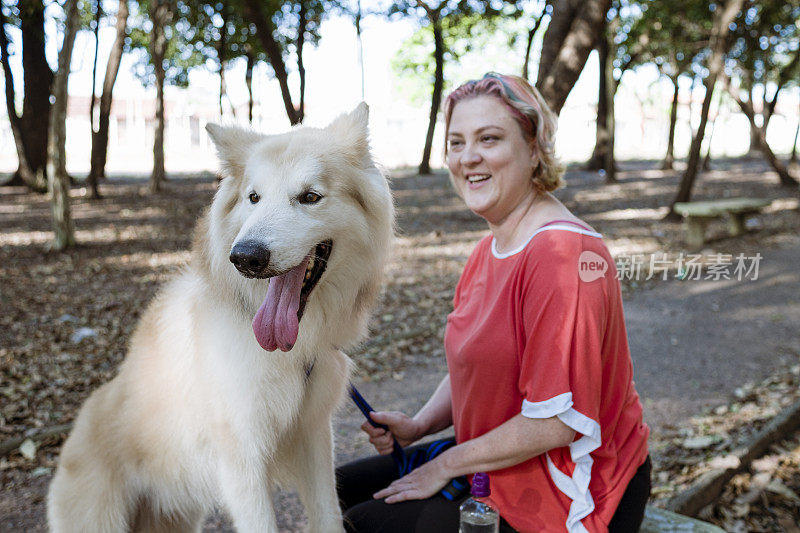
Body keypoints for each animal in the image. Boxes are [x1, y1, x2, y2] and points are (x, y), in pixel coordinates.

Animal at [46, 105, 394, 532]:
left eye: (310, 197)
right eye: (253, 197)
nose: (245, 257)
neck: (290, 352)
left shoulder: (313, 438)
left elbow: (327, 516)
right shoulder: (241, 460)